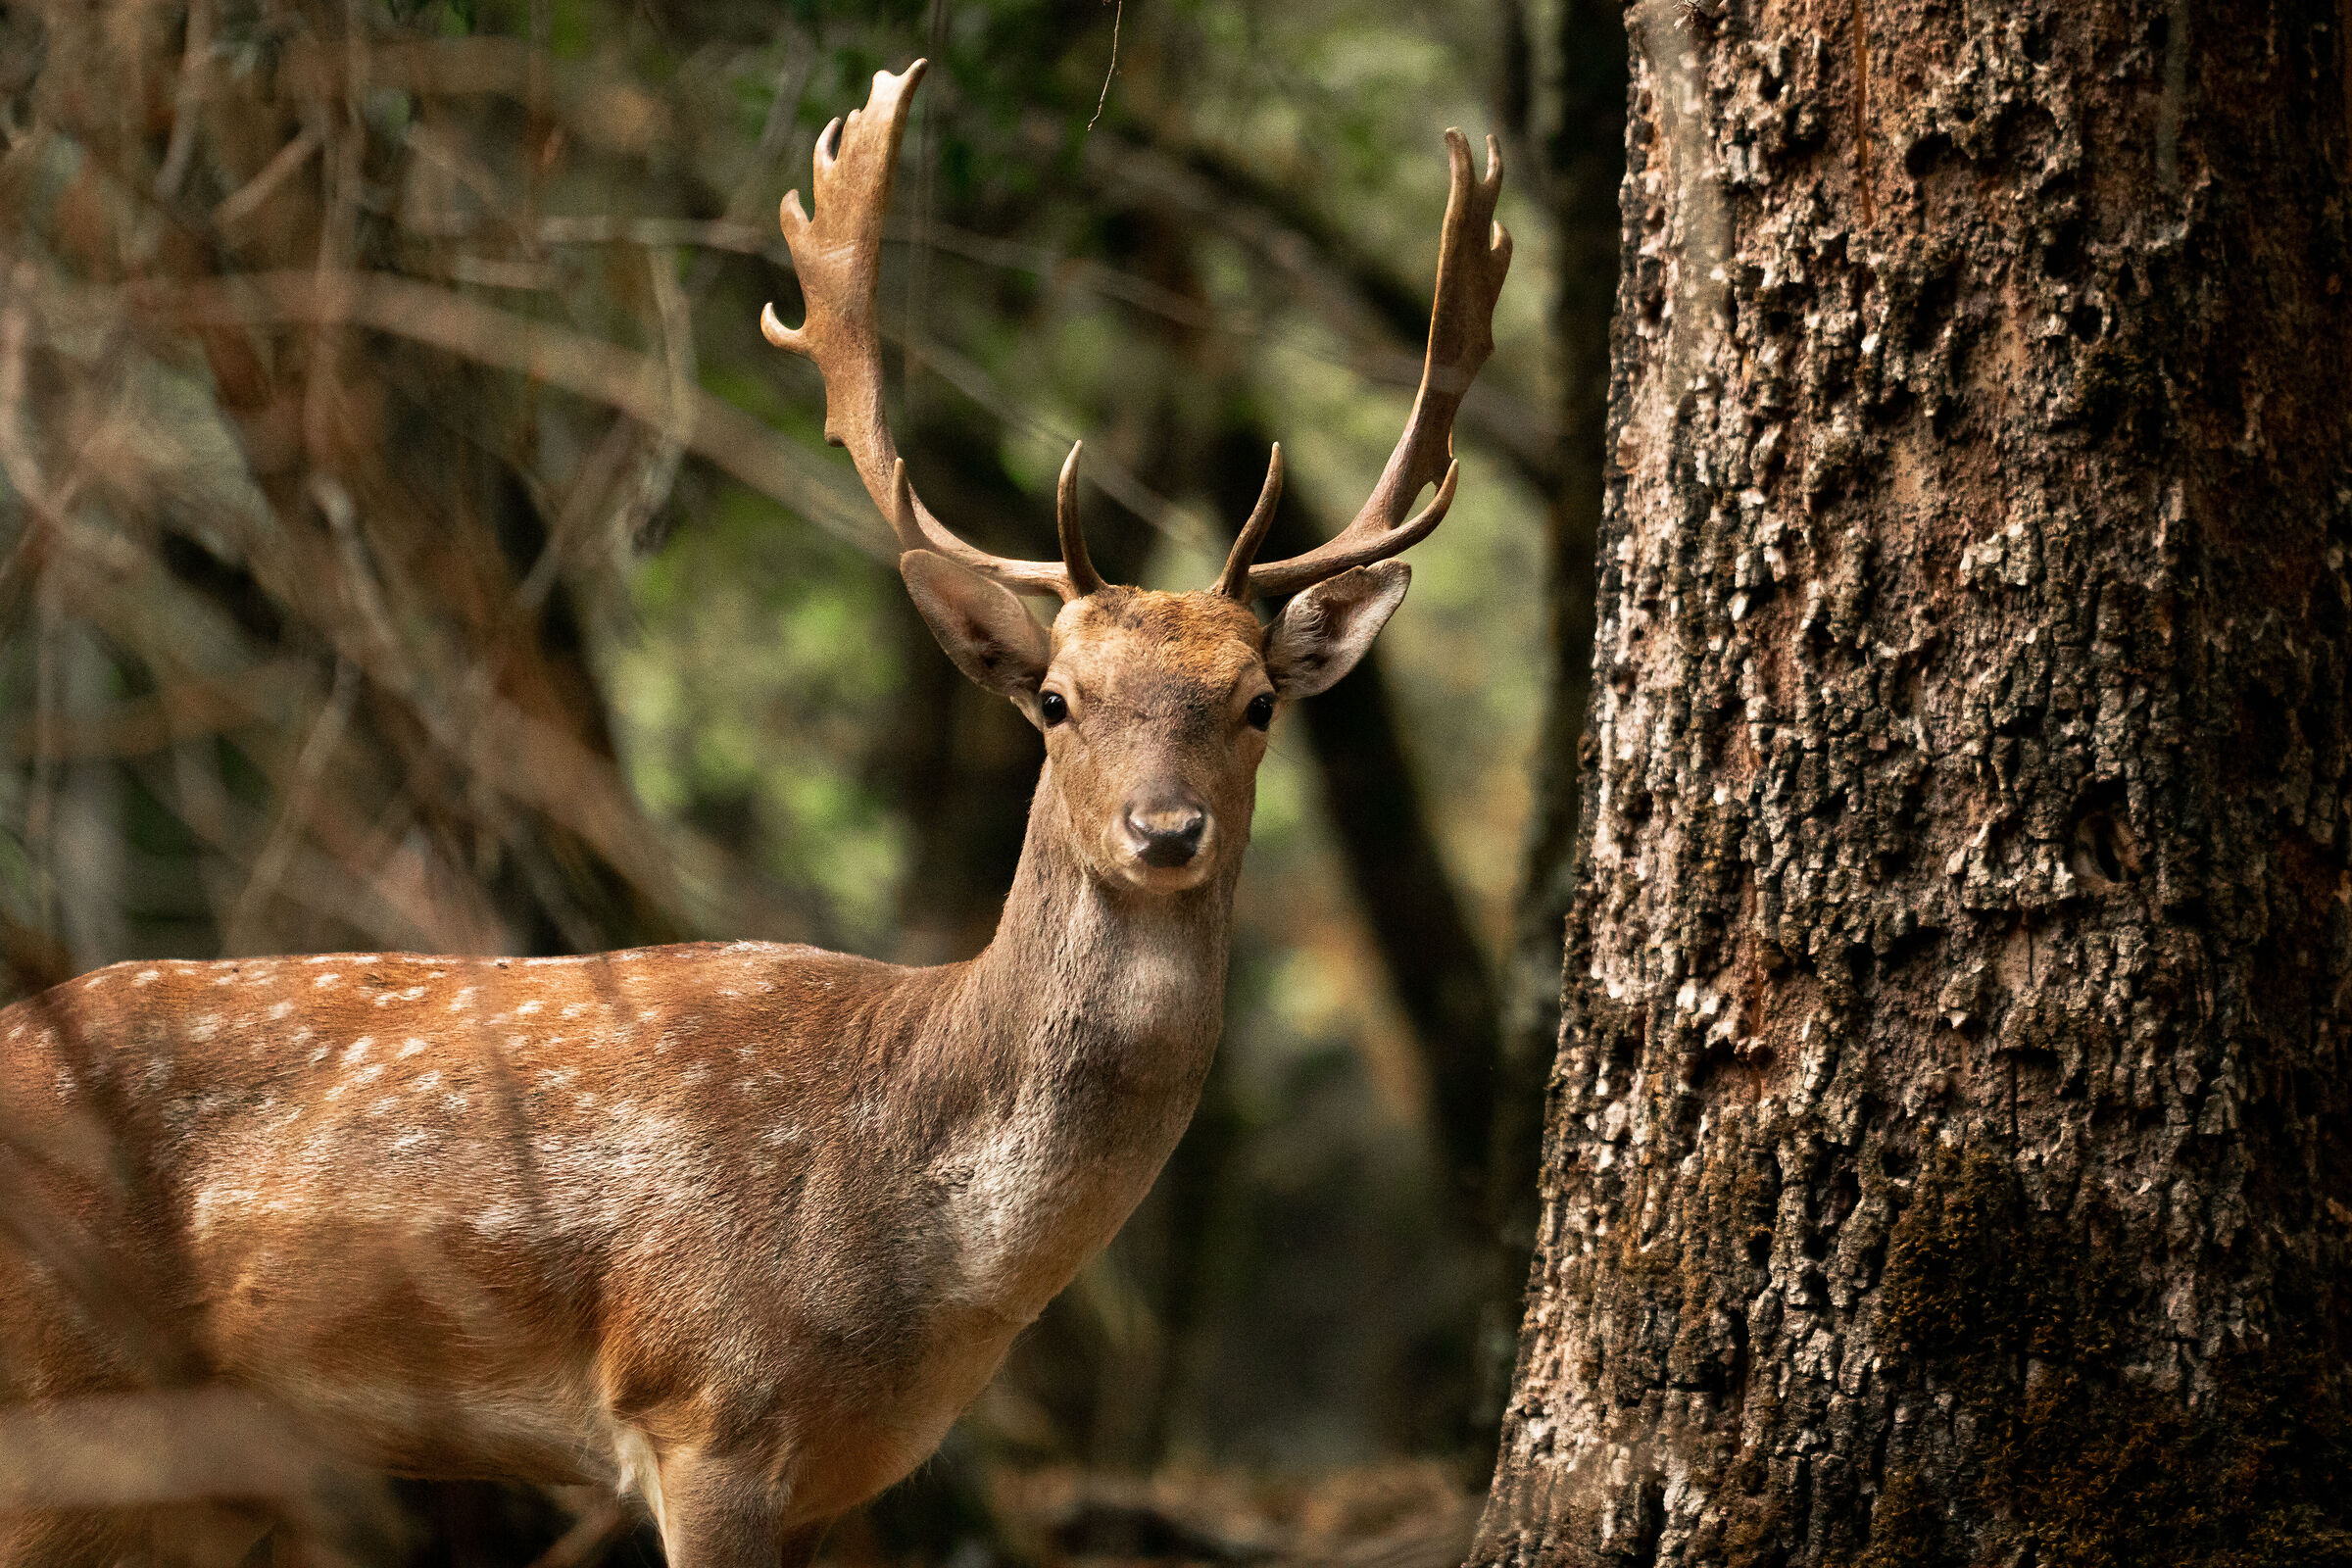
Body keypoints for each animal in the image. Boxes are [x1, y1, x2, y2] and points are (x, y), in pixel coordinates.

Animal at [0, 59, 1508, 1568]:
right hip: (62, 1404)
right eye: (1057, 699)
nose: (1164, 831)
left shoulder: (850, 1476)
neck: (923, 1265)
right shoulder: (703, 1402)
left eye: (1253, 703)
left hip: (202, 1479)